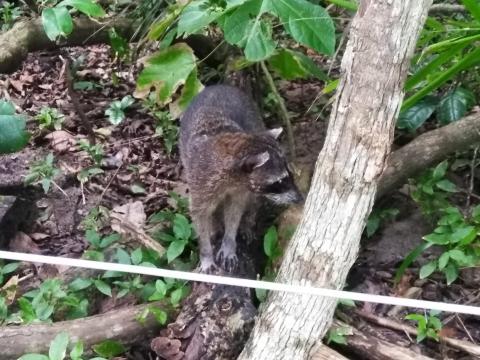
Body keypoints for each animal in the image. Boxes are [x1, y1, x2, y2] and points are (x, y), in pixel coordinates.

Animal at [178, 86, 302, 272]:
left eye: (289, 174)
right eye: (279, 181)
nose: (300, 198)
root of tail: (218, 86)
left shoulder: (240, 190)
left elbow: (235, 211)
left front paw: (229, 241)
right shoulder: (202, 182)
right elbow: (199, 214)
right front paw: (206, 252)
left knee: (253, 200)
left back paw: (247, 222)